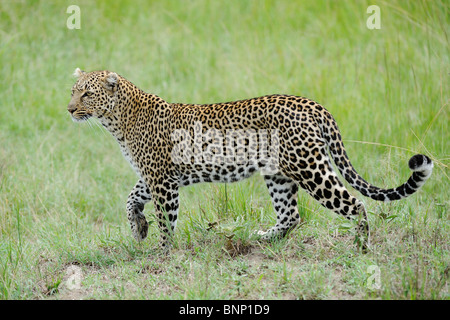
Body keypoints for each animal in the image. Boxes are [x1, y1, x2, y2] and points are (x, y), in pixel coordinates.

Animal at [67, 69, 432, 251]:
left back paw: (361, 246)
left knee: (355, 203)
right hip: (280, 175)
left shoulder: (161, 179)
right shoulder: (156, 176)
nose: (69, 109)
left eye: (87, 93)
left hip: (311, 168)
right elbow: (131, 198)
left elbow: (166, 219)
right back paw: (262, 238)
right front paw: (139, 228)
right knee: (291, 215)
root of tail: (313, 104)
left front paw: (162, 253)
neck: (117, 119)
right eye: (73, 90)